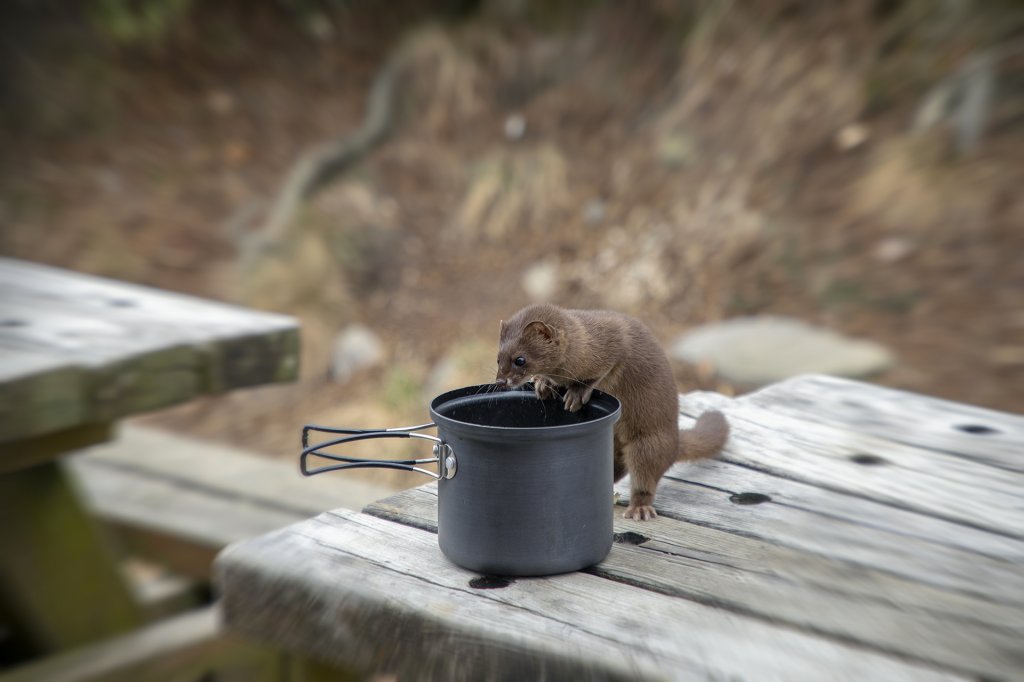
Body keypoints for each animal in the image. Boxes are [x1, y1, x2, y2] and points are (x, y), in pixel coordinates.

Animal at [493, 301, 729, 518]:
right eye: (498, 358)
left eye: (520, 359)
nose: (500, 381)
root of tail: (676, 441)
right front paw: (542, 383)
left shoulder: (615, 343)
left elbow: (602, 370)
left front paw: (576, 393)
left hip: (648, 445)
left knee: (645, 478)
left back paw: (639, 509)